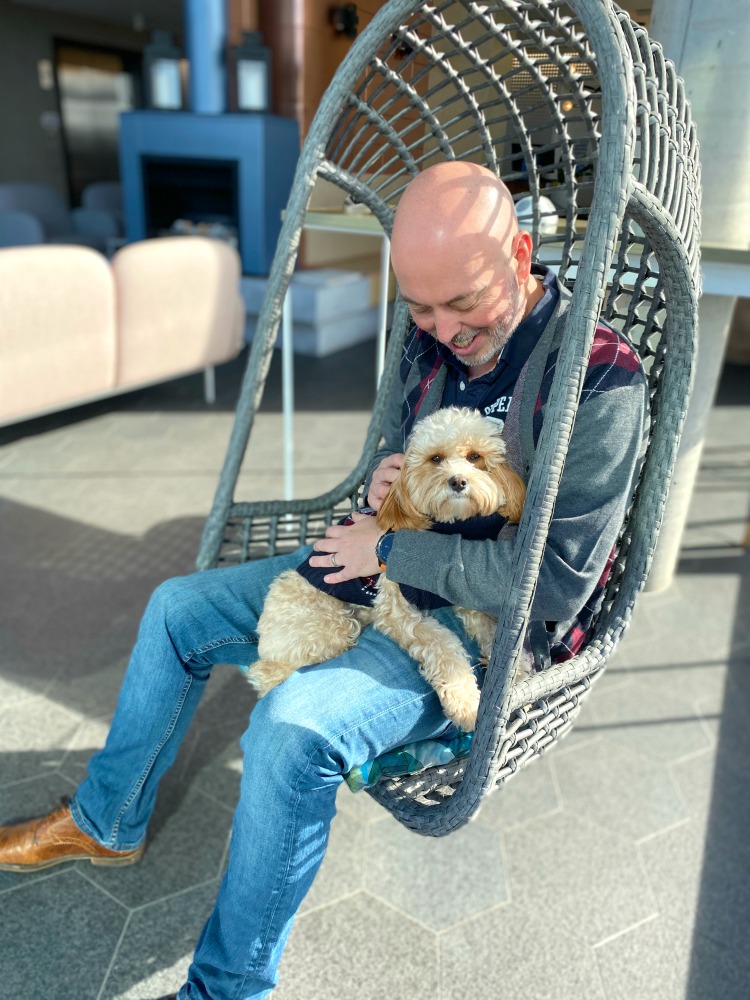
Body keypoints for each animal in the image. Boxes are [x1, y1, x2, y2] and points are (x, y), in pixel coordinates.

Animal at [251, 408, 528, 736]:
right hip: (331, 626)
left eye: (475, 456)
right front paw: (466, 703)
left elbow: (489, 626)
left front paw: (516, 671)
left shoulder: (460, 594)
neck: (447, 526)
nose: (458, 481)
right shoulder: (397, 611)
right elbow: (443, 645)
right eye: (435, 458)